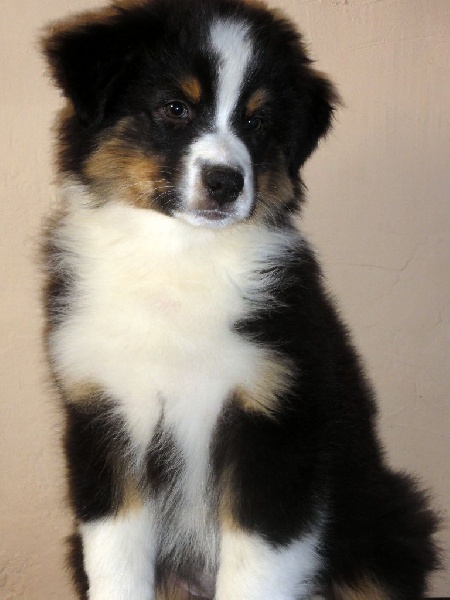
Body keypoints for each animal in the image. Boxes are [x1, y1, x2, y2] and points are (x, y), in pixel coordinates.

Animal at [41, 0, 439, 598]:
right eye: (175, 108)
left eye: (256, 121)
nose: (226, 182)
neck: (181, 257)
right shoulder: (105, 419)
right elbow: (116, 563)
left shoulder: (274, 425)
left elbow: (256, 571)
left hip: (382, 525)